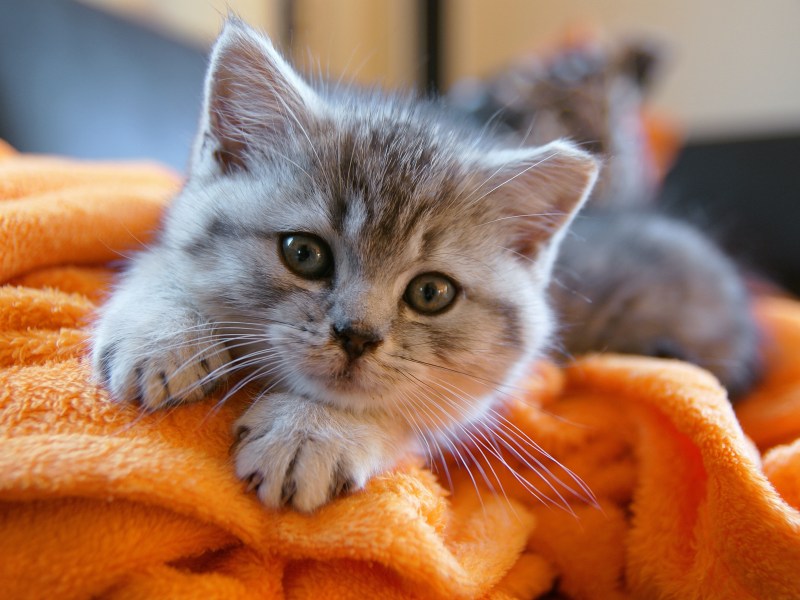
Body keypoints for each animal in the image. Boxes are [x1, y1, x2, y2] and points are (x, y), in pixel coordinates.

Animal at [90, 21, 596, 512]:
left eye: (431, 293)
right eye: (303, 253)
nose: (357, 336)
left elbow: (412, 413)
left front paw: (312, 430)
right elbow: (163, 259)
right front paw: (163, 336)